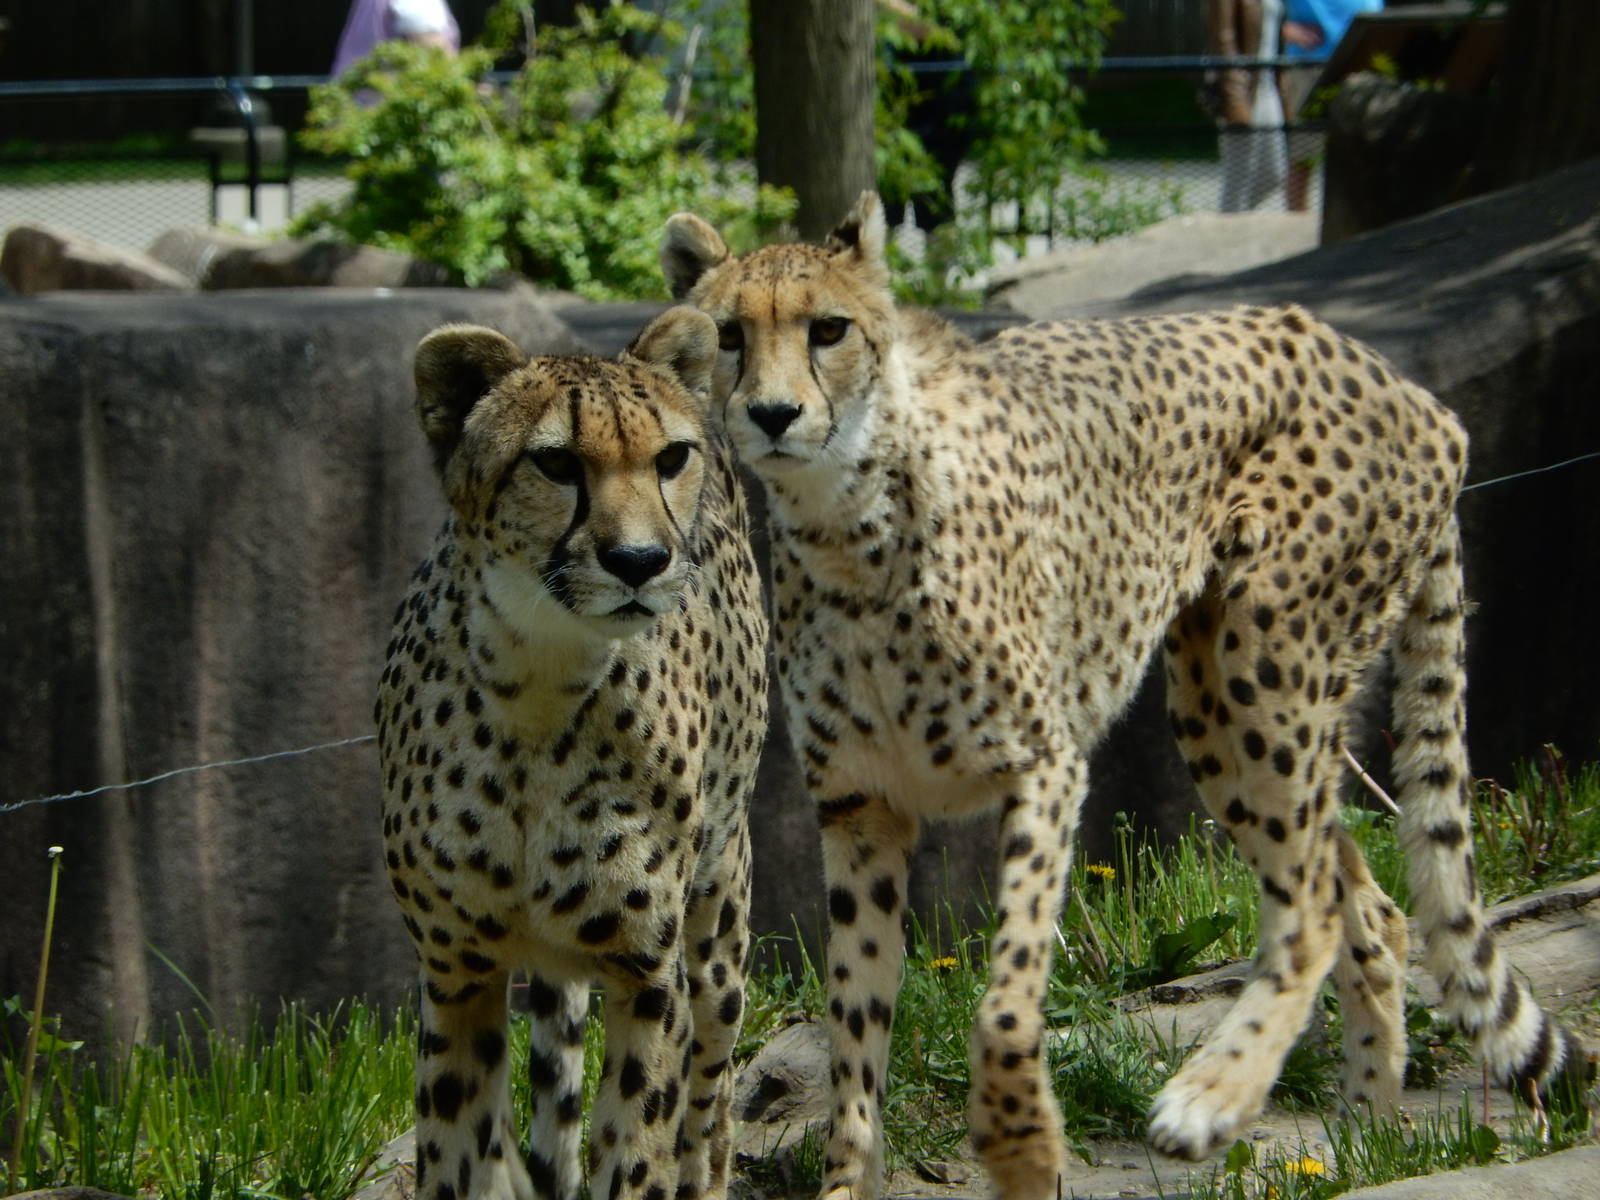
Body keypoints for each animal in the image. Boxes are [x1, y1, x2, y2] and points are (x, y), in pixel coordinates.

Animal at [375, 306, 769, 1200]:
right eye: (555, 462)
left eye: (669, 458)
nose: (640, 562)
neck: (539, 682)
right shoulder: (456, 974)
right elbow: (455, 1152)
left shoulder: (647, 974)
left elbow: (641, 1146)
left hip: (719, 917)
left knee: (711, 1096)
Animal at [659, 191, 1587, 1199]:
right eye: (729, 335)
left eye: (827, 330)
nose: (772, 413)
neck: (846, 528)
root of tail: (1398, 380)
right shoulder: (860, 809)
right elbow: (853, 1043)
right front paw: (847, 1179)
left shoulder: (1044, 768)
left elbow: (1004, 1003)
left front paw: (1024, 1149)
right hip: (1219, 710)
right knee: (1359, 898)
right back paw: (1363, 1138)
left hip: (1265, 662)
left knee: (1307, 906)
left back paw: (1213, 1099)